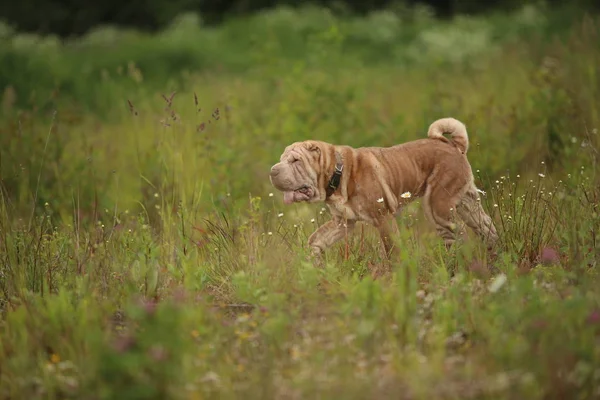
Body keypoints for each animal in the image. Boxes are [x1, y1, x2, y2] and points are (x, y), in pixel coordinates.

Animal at [270, 117, 500, 264]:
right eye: (282, 159)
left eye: (295, 160)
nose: (272, 171)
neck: (338, 172)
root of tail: (453, 145)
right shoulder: (343, 222)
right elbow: (316, 239)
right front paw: (312, 261)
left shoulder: (384, 219)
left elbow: (392, 250)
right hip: (466, 204)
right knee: (486, 229)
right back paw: (495, 257)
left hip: (438, 206)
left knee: (458, 236)